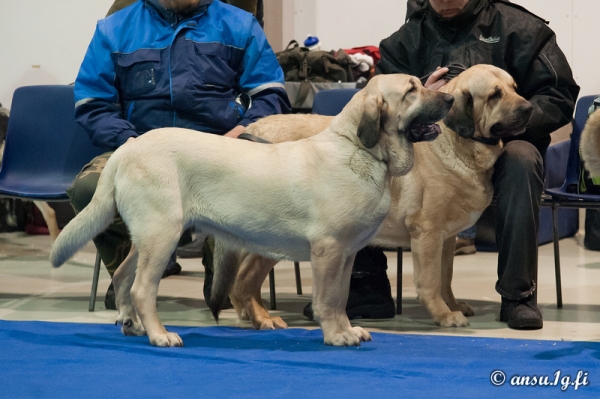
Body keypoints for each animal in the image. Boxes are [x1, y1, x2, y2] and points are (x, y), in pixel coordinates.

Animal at [49, 74, 452, 346]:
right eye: (412, 90)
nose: (449, 97)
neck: (359, 149)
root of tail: (128, 148)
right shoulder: (328, 251)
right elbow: (327, 299)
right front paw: (335, 336)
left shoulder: (347, 254)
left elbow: (340, 298)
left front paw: (346, 329)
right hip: (162, 235)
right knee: (142, 289)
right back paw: (160, 334)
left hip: (152, 237)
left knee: (122, 277)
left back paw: (132, 325)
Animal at [227, 65, 532, 332]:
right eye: (494, 95)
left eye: (514, 88)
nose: (529, 108)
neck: (459, 143)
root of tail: (254, 130)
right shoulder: (428, 232)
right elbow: (431, 281)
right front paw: (444, 314)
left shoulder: (447, 237)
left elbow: (446, 277)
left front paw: (453, 305)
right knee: (244, 277)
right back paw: (262, 317)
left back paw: (248, 312)